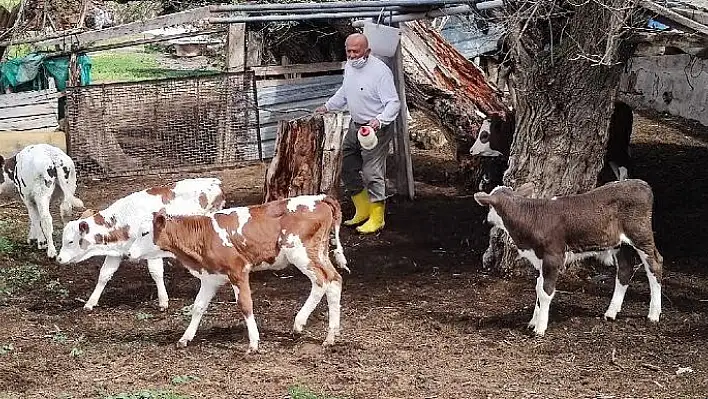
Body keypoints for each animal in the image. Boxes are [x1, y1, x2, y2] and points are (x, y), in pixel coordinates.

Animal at [56, 178, 225, 312]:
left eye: (70, 241)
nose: (58, 259)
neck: (126, 219)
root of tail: (216, 182)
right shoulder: (117, 252)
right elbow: (104, 275)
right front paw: (90, 302)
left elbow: (156, 272)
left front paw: (163, 301)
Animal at [129, 194, 350, 354]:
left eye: (144, 233)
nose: (130, 253)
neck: (202, 237)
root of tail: (320, 198)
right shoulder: (210, 278)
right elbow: (198, 307)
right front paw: (185, 338)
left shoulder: (238, 270)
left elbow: (245, 304)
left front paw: (253, 343)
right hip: (319, 252)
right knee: (334, 280)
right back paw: (331, 337)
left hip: (300, 252)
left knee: (321, 281)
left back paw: (299, 323)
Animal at [476, 181, 664, 338]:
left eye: (488, 207)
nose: (485, 220)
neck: (531, 218)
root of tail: (642, 184)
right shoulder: (541, 259)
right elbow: (538, 287)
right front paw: (532, 322)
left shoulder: (553, 256)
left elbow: (545, 291)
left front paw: (540, 328)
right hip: (621, 243)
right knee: (625, 269)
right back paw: (611, 312)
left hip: (641, 234)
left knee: (655, 264)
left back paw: (653, 314)